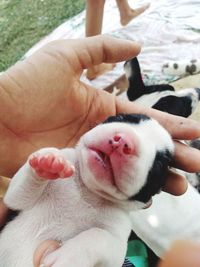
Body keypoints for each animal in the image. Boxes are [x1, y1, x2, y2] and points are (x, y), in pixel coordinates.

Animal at [0, 113, 173, 267]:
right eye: (121, 117)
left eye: (158, 165)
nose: (124, 140)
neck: (87, 193)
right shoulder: (16, 201)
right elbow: (18, 195)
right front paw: (48, 161)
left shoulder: (117, 240)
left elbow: (99, 235)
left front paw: (67, 258)